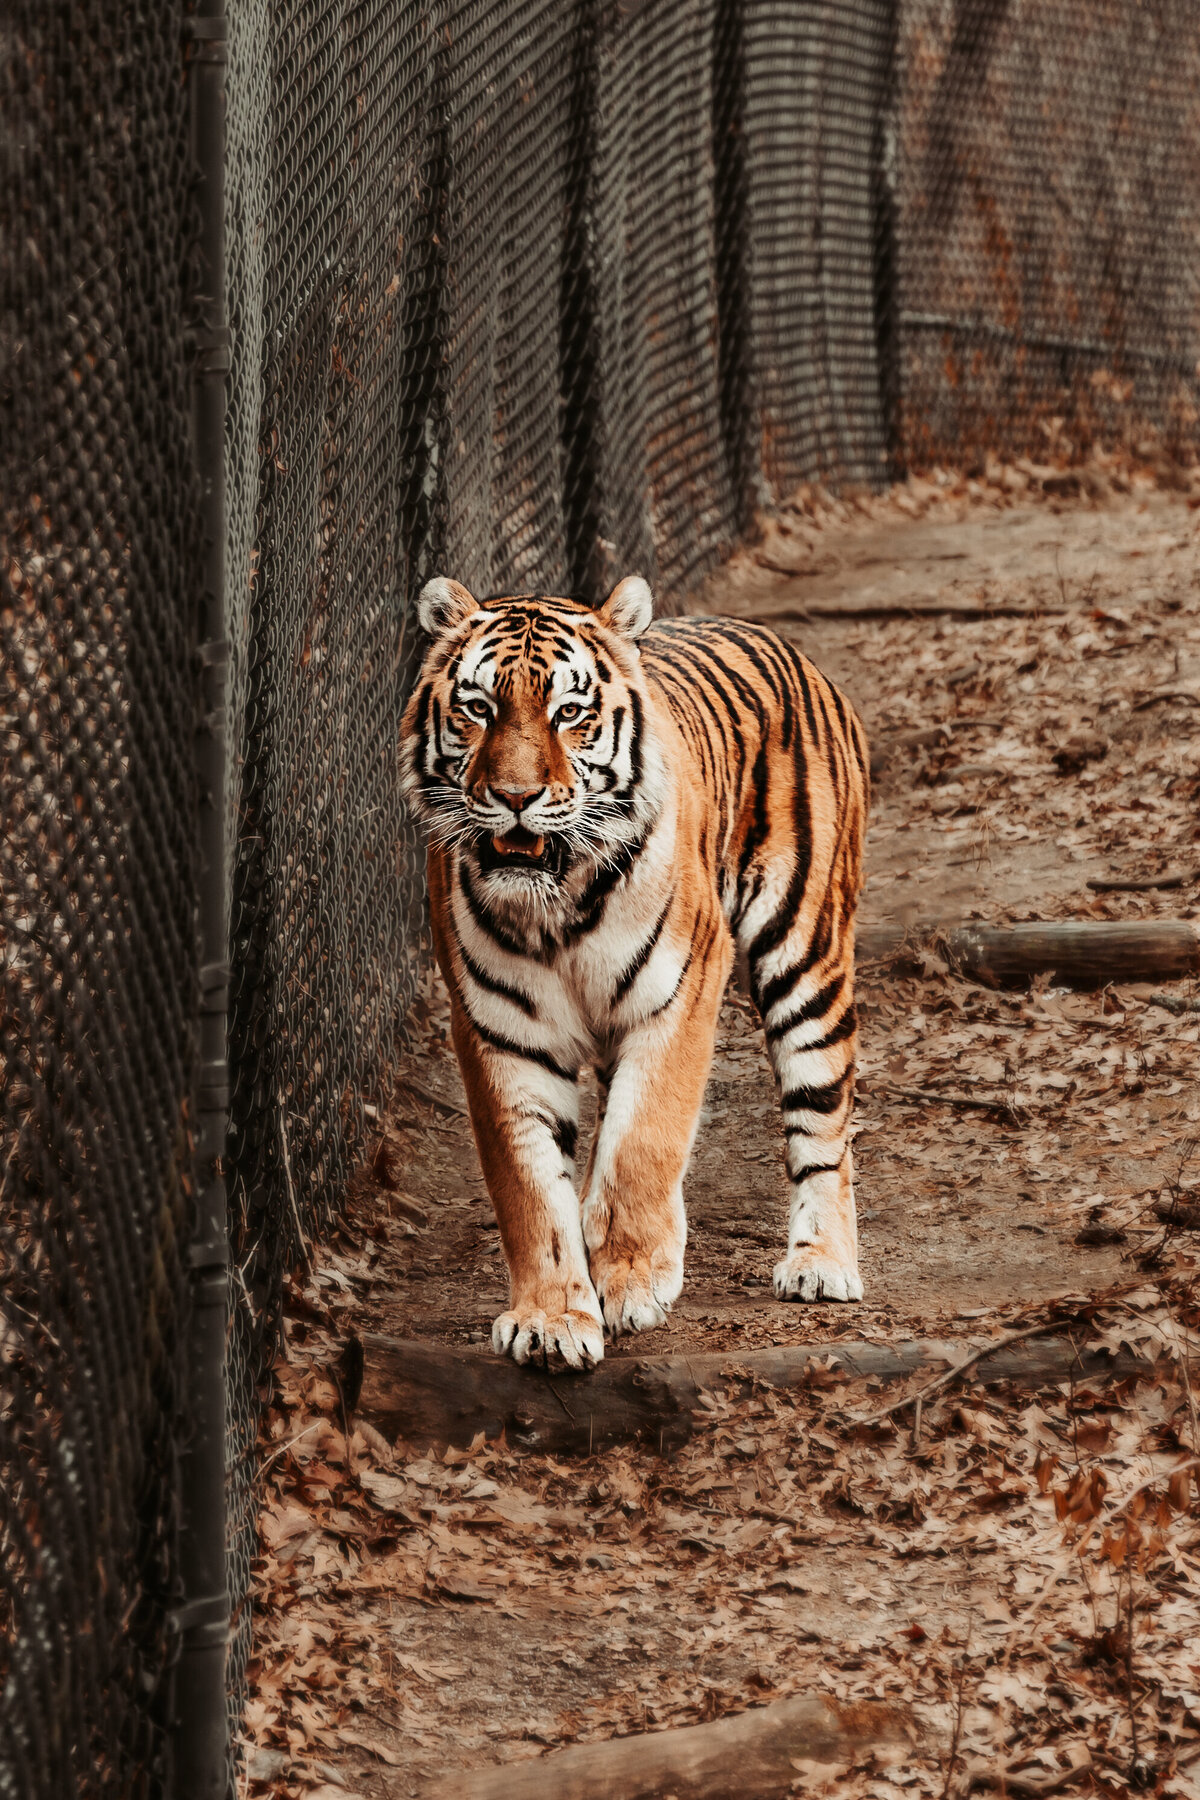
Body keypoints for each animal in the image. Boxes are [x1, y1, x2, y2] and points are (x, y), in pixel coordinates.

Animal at [400, 574, 868, 1370]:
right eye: (479, 708)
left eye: (569, 713)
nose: (516, 798)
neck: (556, 903)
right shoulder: (501, 1031)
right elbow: (531, 1187)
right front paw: (552, 1319)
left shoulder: (680, 992)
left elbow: (645, 1139)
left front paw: (633, 1280)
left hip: (807, 952)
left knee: (822, 1120)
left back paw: (822, 1263)